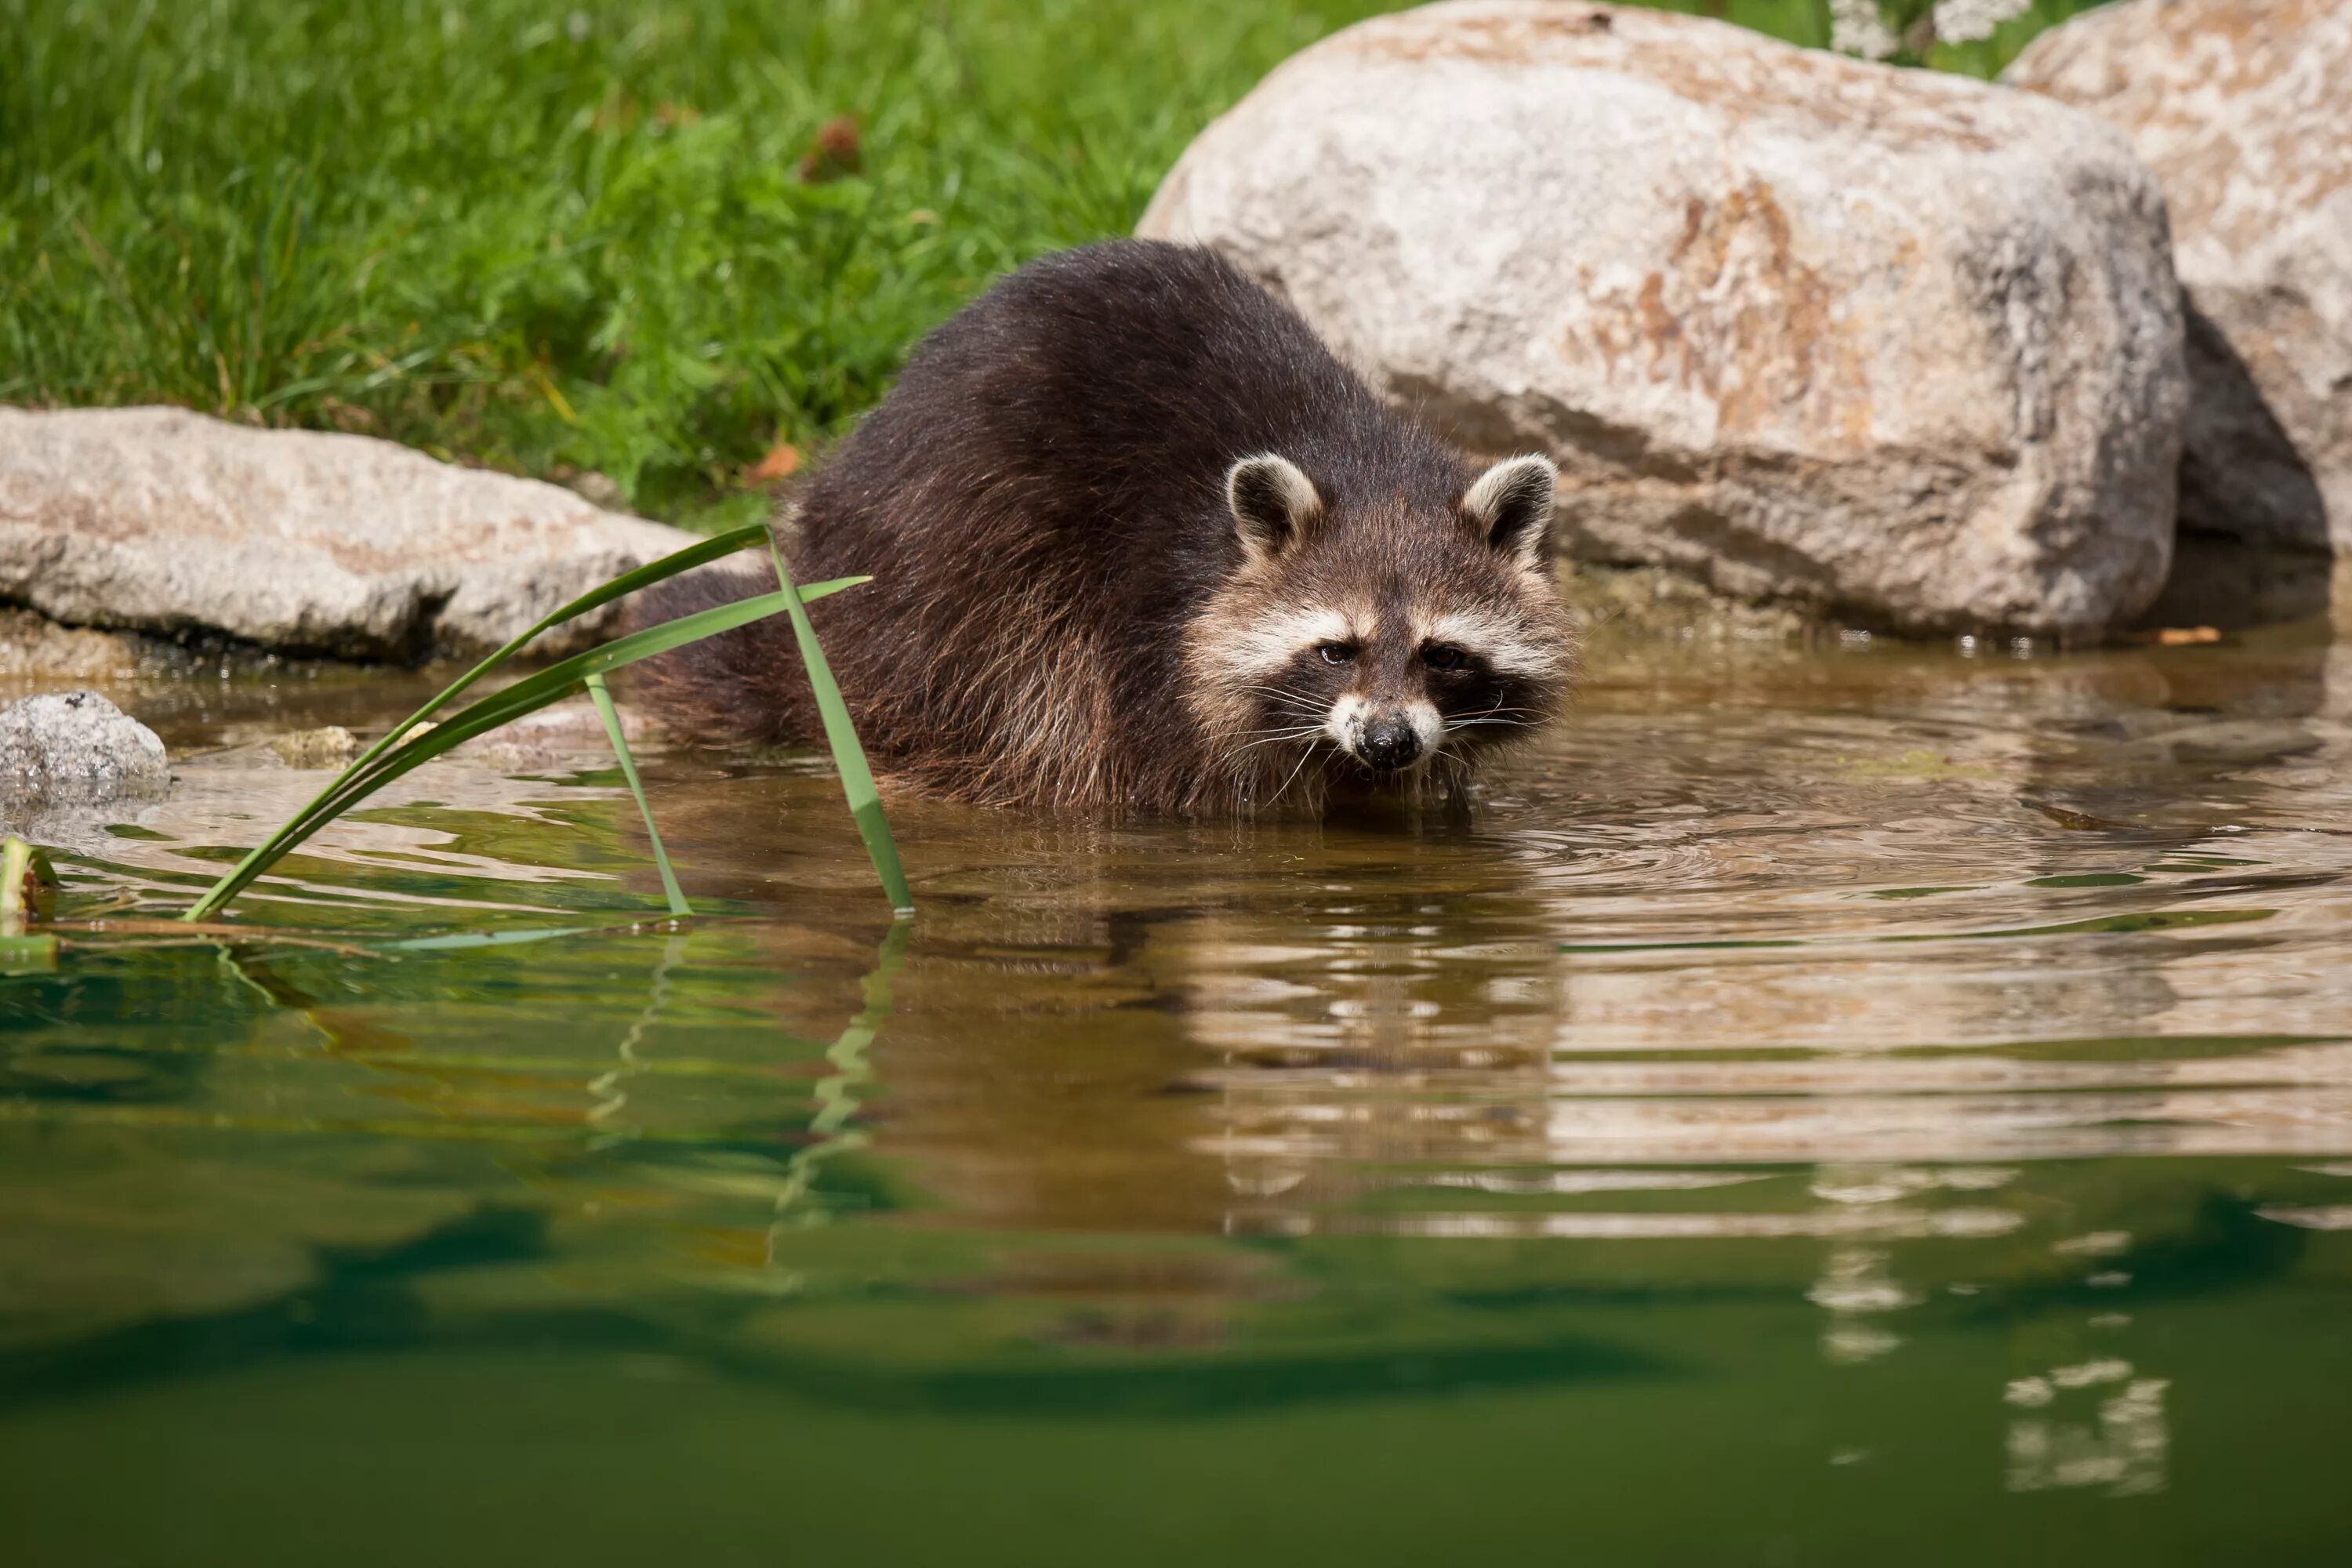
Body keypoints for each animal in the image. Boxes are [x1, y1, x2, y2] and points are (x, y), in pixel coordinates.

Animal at [635, 241, 1571, 822]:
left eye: (1442, 653)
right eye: (1336, 648)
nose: (1386, 741)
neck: (1372, 470)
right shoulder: (1155, 635)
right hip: (946, 557)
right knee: (1026, 702)